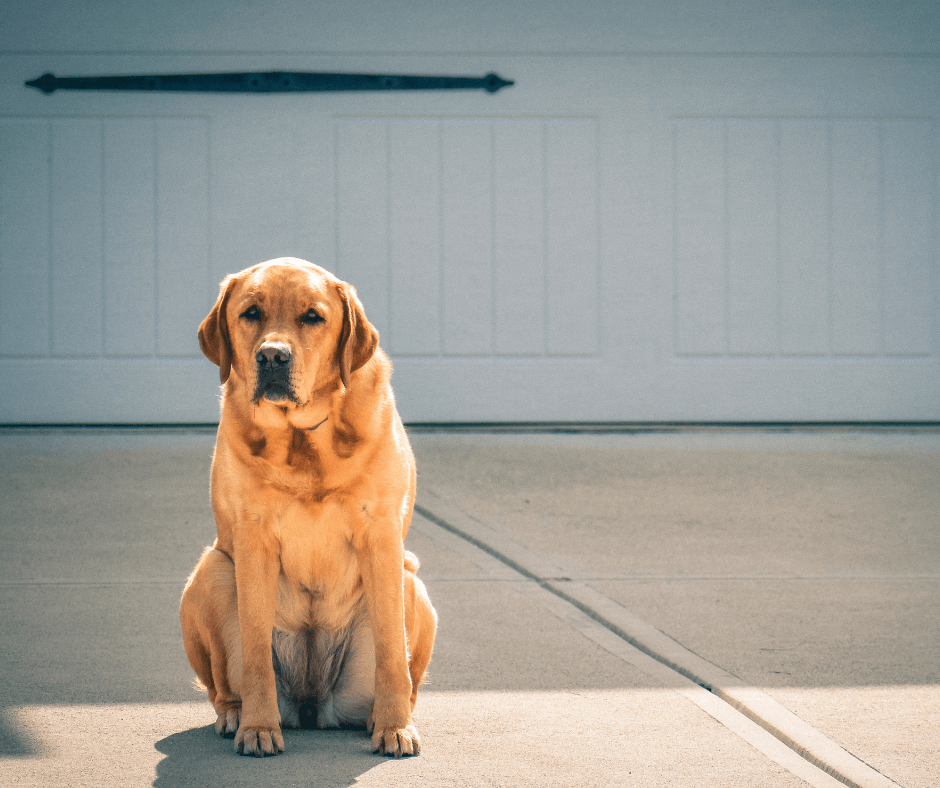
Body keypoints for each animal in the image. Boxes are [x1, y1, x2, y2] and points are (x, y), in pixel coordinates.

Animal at [180, 258, 436, 756]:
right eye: (251, 313)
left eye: (313, 317)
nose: (272, 357)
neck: (303, 439)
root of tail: (312, 705)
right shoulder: (254, 538)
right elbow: (256, 654)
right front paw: (259, 727)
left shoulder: (381, 536)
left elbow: (392, 654)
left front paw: (395, 727)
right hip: (212, 572)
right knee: (224, 685)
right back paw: (235, 714)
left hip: (412, 583)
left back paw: (382, 715)